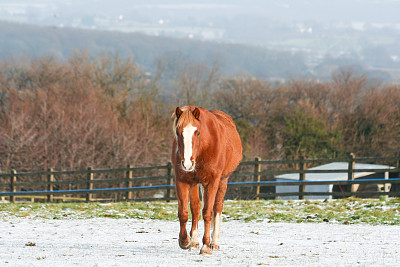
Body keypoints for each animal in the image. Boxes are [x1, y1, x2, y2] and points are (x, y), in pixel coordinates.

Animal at [171, 106, 242, 255]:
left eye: (197, 132)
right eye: (178, 132)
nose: (187, 164)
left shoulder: (212, 181)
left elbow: (208, 212)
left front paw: (206, 246)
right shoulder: (183, 181)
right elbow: (184, 212)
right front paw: (185, 241)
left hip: (223, 181)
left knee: (217, 208)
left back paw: (214, 243)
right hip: (195, 183)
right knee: (196, 208)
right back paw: (194, 241)